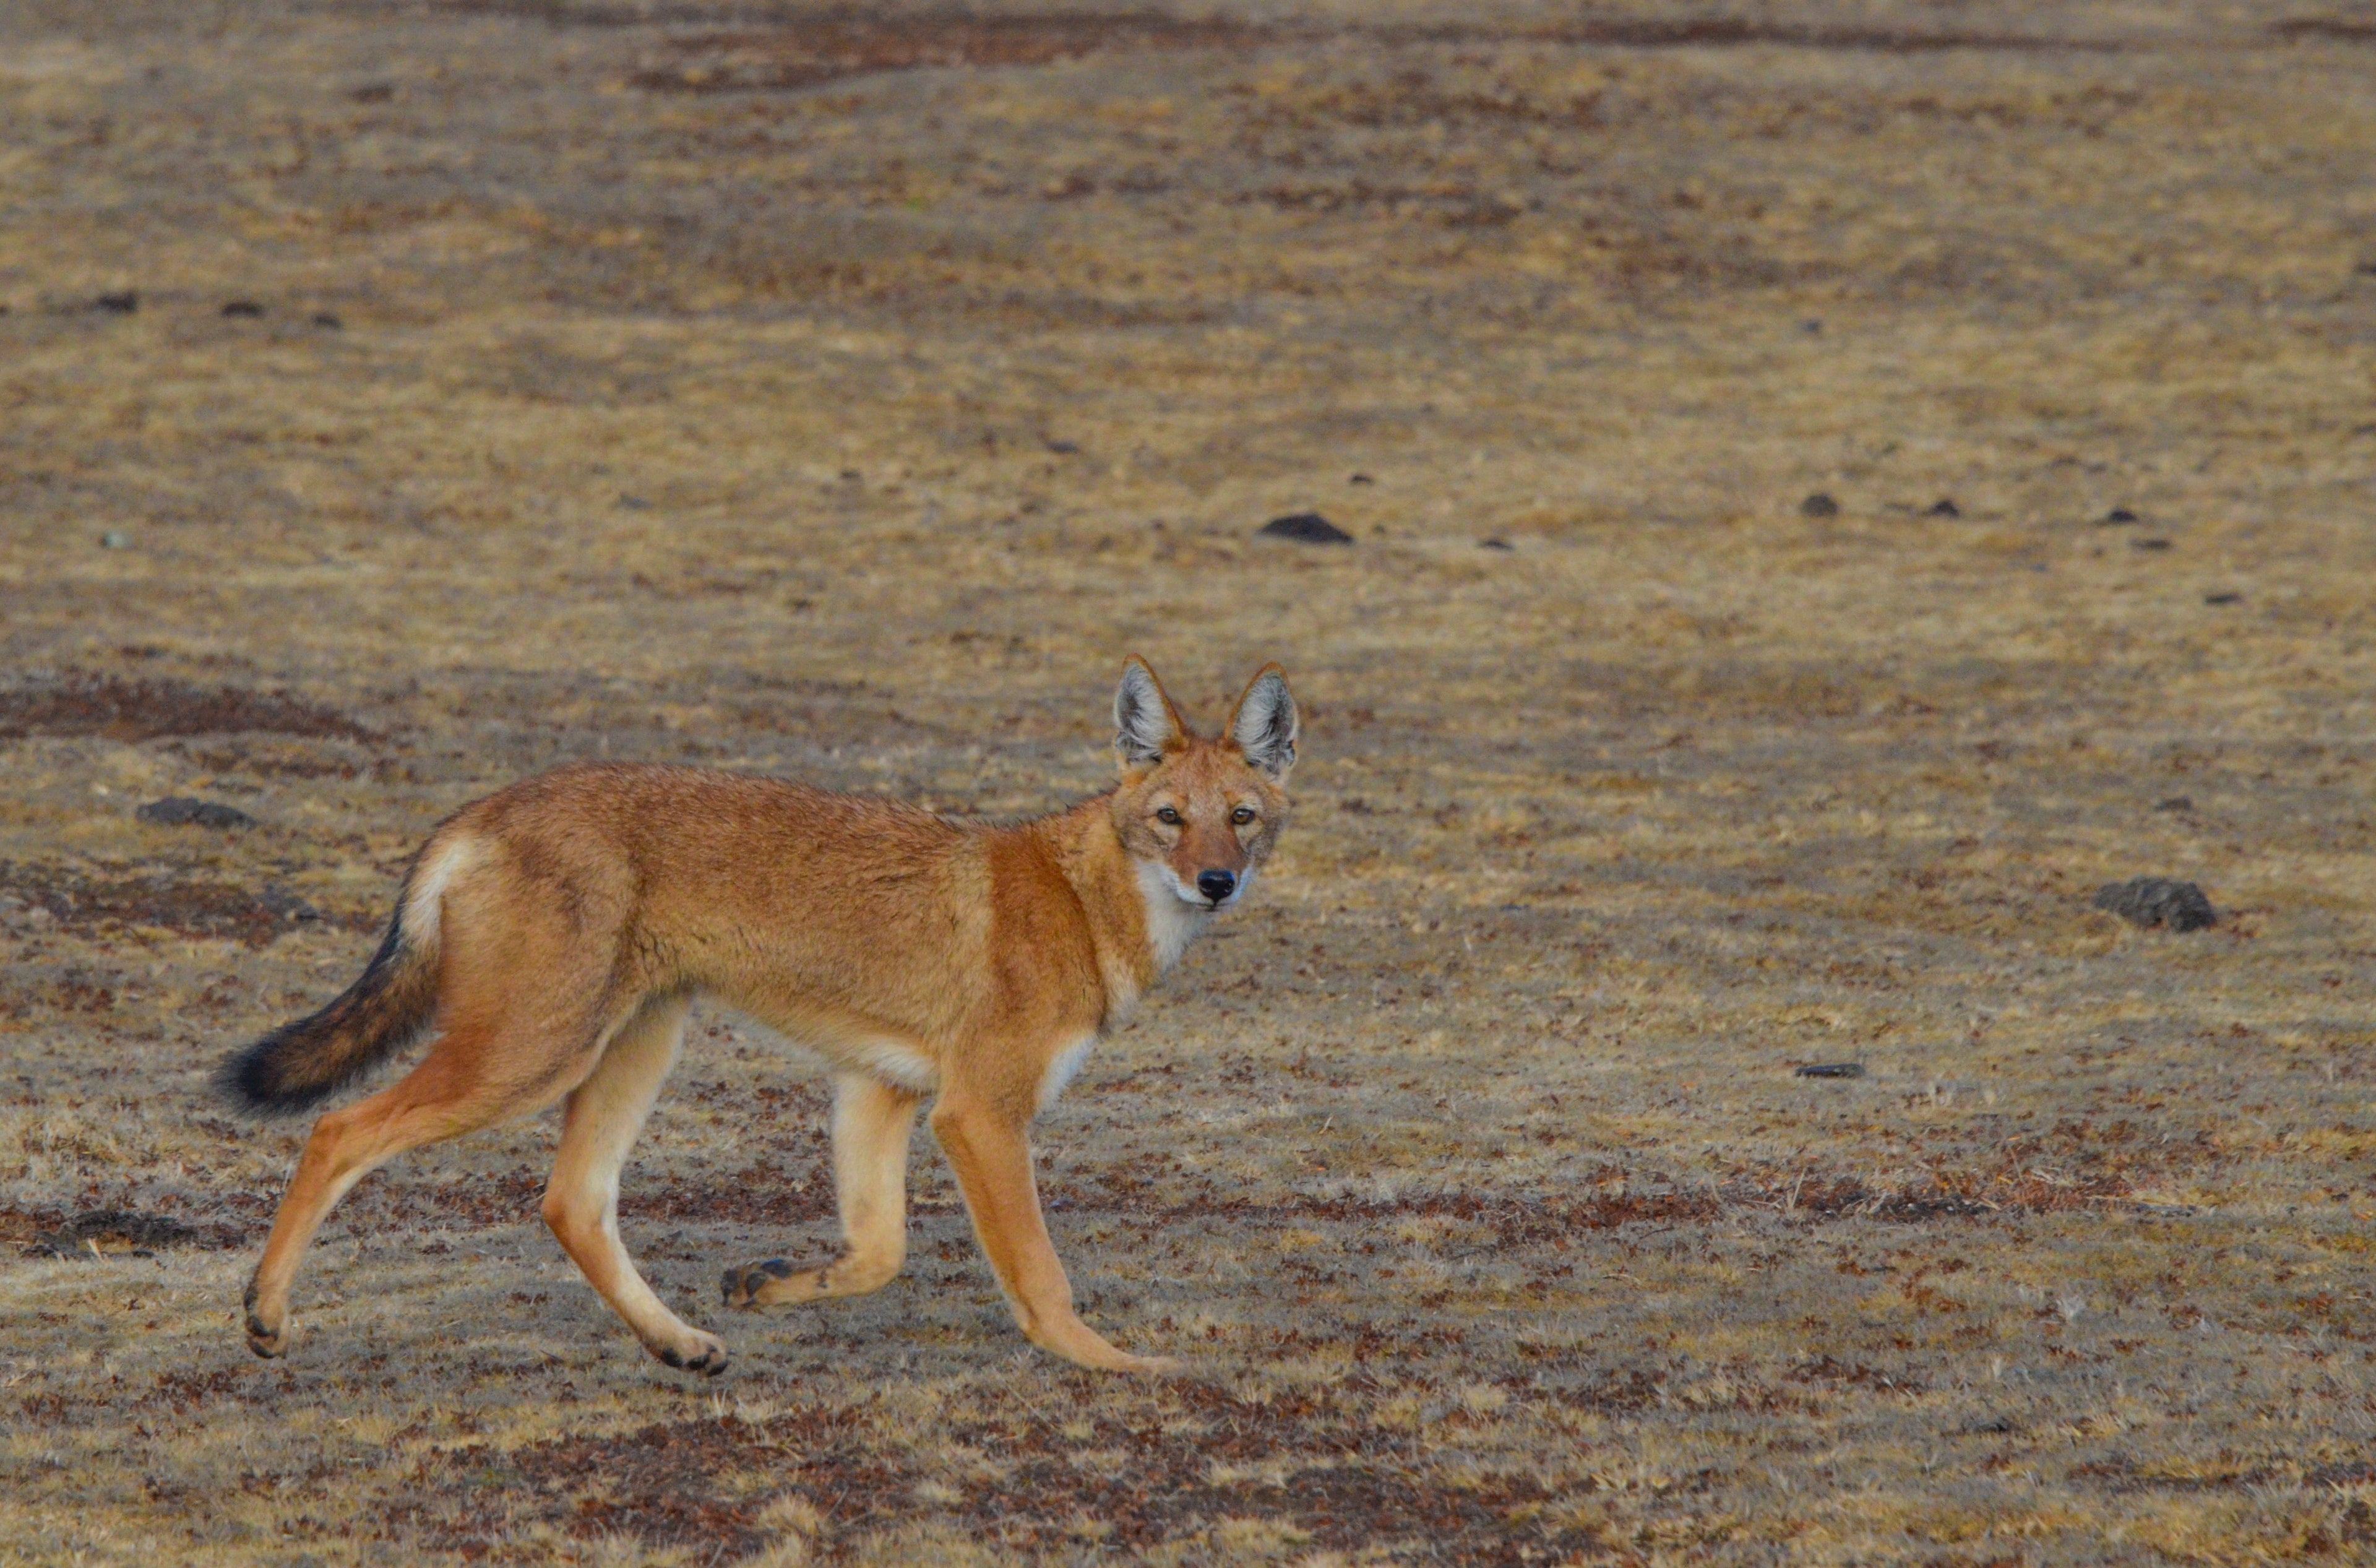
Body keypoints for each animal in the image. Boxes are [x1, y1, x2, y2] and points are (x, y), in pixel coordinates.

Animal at [223, 659, 1297, 1375]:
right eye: (1171, 818)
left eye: (1241, 818)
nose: (1216, 881)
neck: (1081, 901)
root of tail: (475, 811)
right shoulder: (979, 1115)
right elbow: (1040, 1275)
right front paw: (1114, 1363)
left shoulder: (880, 1091)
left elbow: (879, 1254)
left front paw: (770, 1284)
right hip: (526, 1061)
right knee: (338, 1128)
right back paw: (266, 1315)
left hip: (631, 1054)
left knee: (572, 1202)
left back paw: (679, 1343)